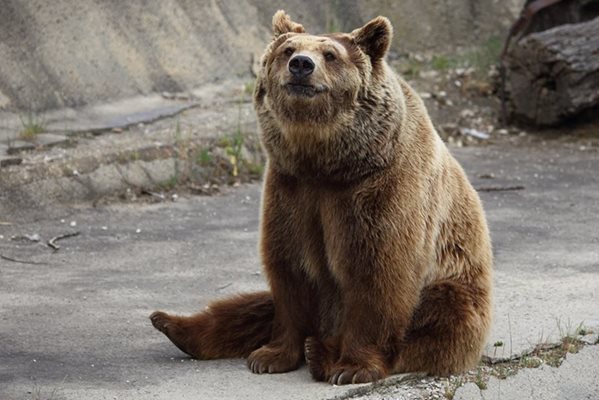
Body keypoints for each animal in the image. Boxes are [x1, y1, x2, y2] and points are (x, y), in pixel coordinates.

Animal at [150, 10, 492, 384]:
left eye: (330, 54)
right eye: (287, 50)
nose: (301, 64)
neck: (327, 162)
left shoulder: (381, 190)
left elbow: (378, 275)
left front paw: (352, 367)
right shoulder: (291, 189)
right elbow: (288, 270)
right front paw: (270, 356)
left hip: (455, 285)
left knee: (439, 318)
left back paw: (322, 353)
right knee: (251, 306)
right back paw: (173, 325)